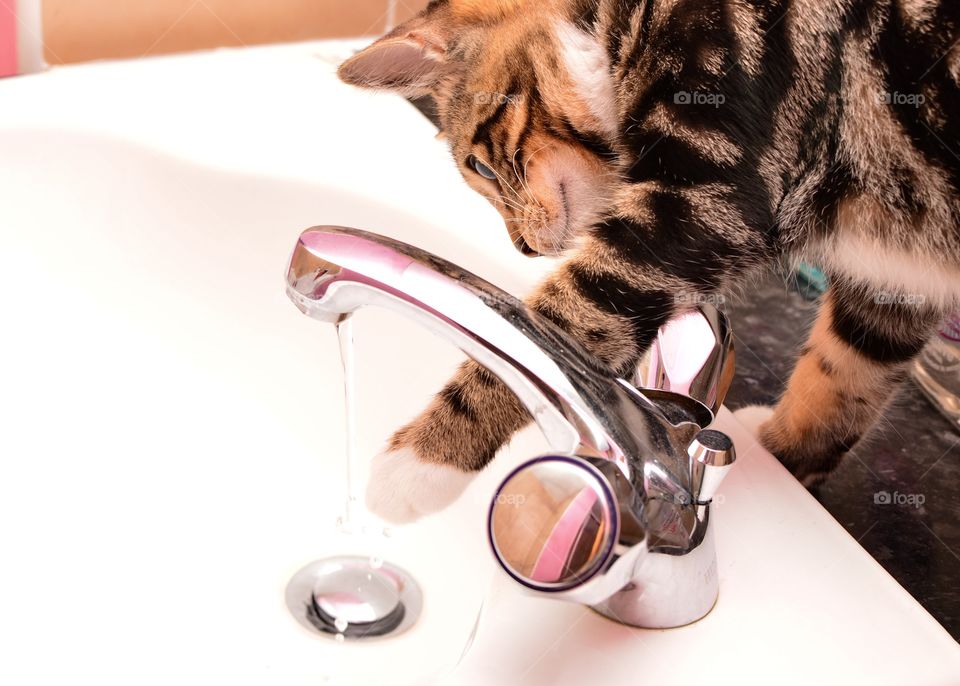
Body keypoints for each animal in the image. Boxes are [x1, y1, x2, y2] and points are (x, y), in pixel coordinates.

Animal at [338, 0, 960, 520]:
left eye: (483, 168)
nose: (524, 248)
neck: (621, 20)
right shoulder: (891, 273)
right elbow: (848, 371)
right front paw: (783, 457)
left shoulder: (703, 197)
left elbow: (552, 330)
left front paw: (421, 463)